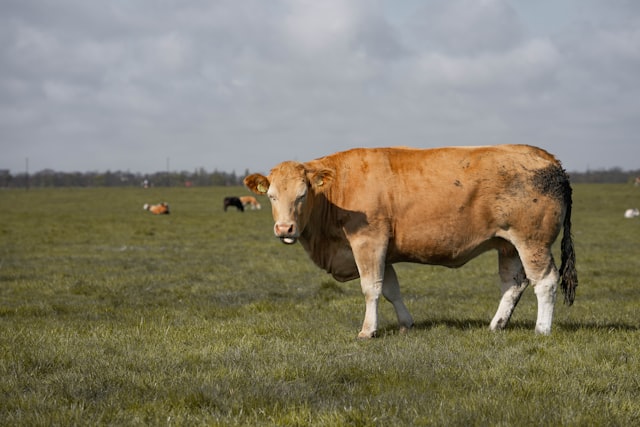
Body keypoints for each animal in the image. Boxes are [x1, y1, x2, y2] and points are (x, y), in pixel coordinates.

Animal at [242, 145, 576, 340]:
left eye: (302, 195)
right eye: (271, 196)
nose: (284, 228)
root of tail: (550, 159)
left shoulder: (369, 242)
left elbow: (371, 288)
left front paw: (368, 330)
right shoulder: (384, 251)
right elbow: (391, 289)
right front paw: (406, 324)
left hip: (532, 241)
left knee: (545, 281)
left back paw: (542, 330)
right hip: (508, 245)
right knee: (513, 284)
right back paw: (496, 325)